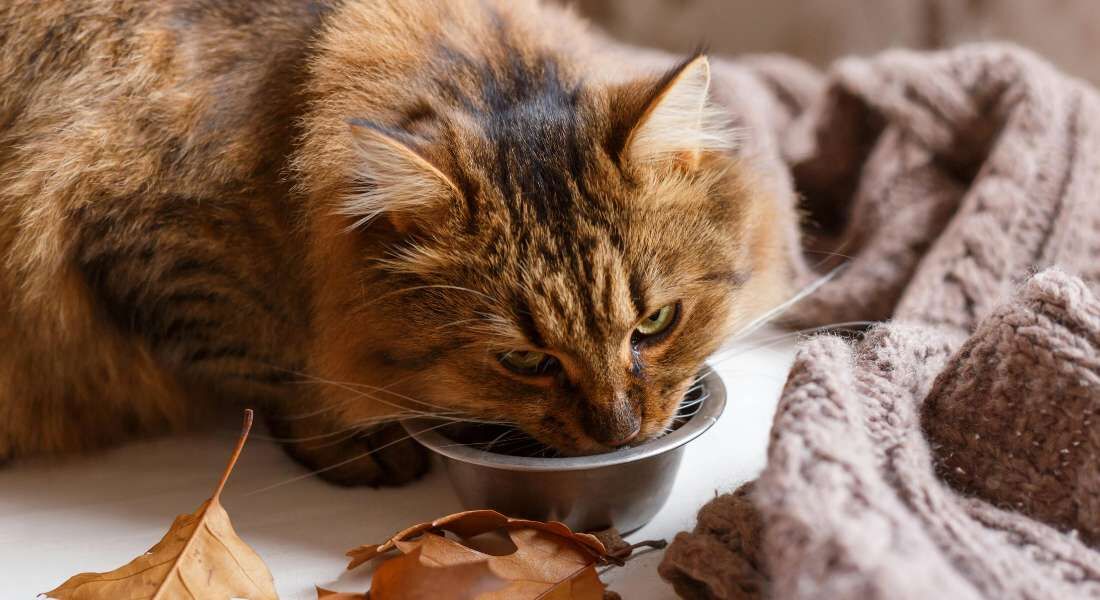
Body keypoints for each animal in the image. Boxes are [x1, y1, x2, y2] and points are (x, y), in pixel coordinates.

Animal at [0, 0, 796, 484]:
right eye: (523, 361)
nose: (622, 434)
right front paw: (356, 440)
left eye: (655, 323)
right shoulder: (155, 250)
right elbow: (274, 363)